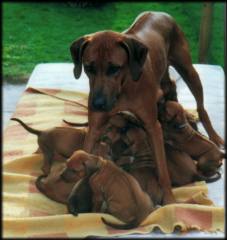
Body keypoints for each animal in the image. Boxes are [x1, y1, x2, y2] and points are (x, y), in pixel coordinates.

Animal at [70, 11, 223, 204]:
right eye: (88, 68)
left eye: (114, 68)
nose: (97, 104)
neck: (125, 86)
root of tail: (161, 13)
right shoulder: (95, 128)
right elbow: (86, 149)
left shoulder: (153, 127)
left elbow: (162, 169)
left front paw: (169, 200)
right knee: (170, 86)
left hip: (188, 70)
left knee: (201, 107)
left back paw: (213, 135)